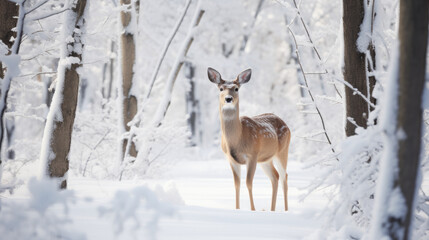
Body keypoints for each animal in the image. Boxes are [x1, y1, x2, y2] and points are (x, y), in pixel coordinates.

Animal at [206, 67, 290, 212]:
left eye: (236, 88)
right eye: (221, 88)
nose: (228, 99)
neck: (237, 140)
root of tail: (286, 124)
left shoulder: (252, 155)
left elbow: (248, 182)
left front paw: (252, 210)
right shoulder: (231, 159)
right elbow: (237, 184)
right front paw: (237, 209)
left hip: (282, 151)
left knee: (284, 176)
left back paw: (285, 210)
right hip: (265, 159)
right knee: (275, 176)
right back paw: (272, 209)